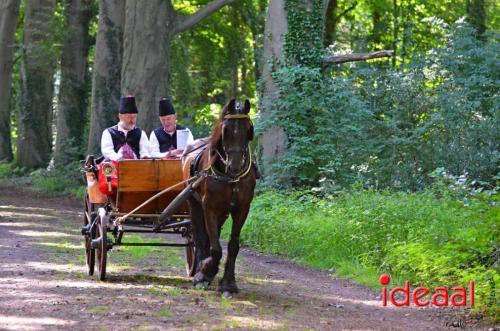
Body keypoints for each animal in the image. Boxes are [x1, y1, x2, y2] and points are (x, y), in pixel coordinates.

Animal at [182, 98, 256, 296]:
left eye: (249, 128)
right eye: (226, 129)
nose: (235, 166)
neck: (229, 177)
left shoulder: (242, 209)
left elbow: (233, 245)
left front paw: (228, 283)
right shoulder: (209, 208)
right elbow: (215, 247)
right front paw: (204, 272)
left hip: (223, 212)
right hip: (193, 203)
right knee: (200, 237)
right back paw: (200, 269)